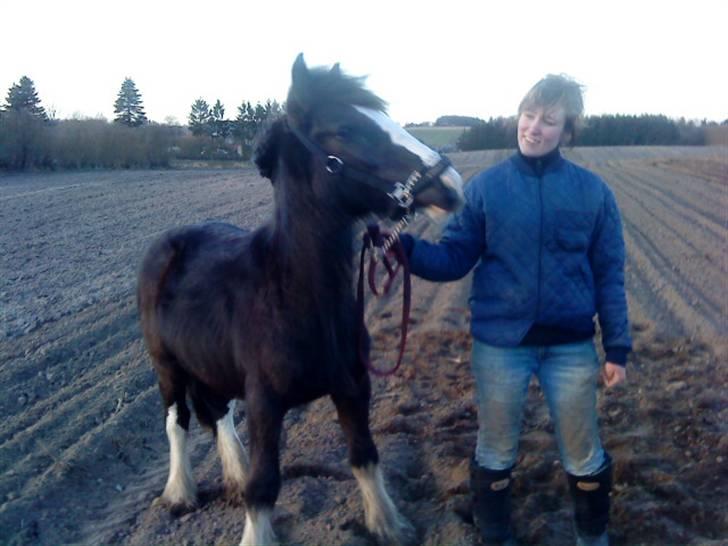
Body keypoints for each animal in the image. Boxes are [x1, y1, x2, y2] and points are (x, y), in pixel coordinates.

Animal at [139, 56, 464, 544]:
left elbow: (364, 455)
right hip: (168, 366)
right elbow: (264, 484)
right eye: (344, 129)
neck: (296, 298)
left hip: (210, 364)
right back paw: (180, 494)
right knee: (176, 422)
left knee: (217, 413)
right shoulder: (264, 403)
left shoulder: (353, 386)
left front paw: (387, 524)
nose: (450, 183)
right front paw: (256, 534)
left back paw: (231, 476)